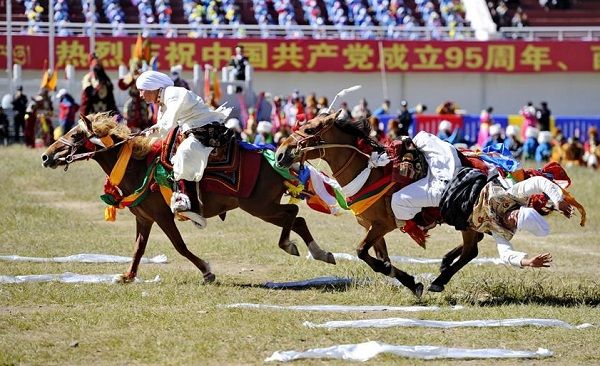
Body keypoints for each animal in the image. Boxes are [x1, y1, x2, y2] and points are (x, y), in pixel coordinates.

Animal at [39, 114, 336, 284]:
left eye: (76, 134)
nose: (46, 156)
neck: (138, 167)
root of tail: (278, 157)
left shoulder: (162, 216)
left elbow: (179, 246)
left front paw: (206, 271)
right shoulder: (144, 219)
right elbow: (138, 249)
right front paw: (127, 276)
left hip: (260, 207)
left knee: (292, 215)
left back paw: (290, 245)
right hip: (263, 207)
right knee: (297, 219)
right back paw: (321, 253)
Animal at [274, 111, 480, 298]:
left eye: (309, 130)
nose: (280, 154)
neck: (370, 173)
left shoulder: (383, 225)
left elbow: (361, 251)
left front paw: (409, 280)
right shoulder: (371, 226)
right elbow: (380, 259)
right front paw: (410, 282)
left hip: (467, 222)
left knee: (470, 251)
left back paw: (440, 280)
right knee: (472, 246)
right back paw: (445, 262)